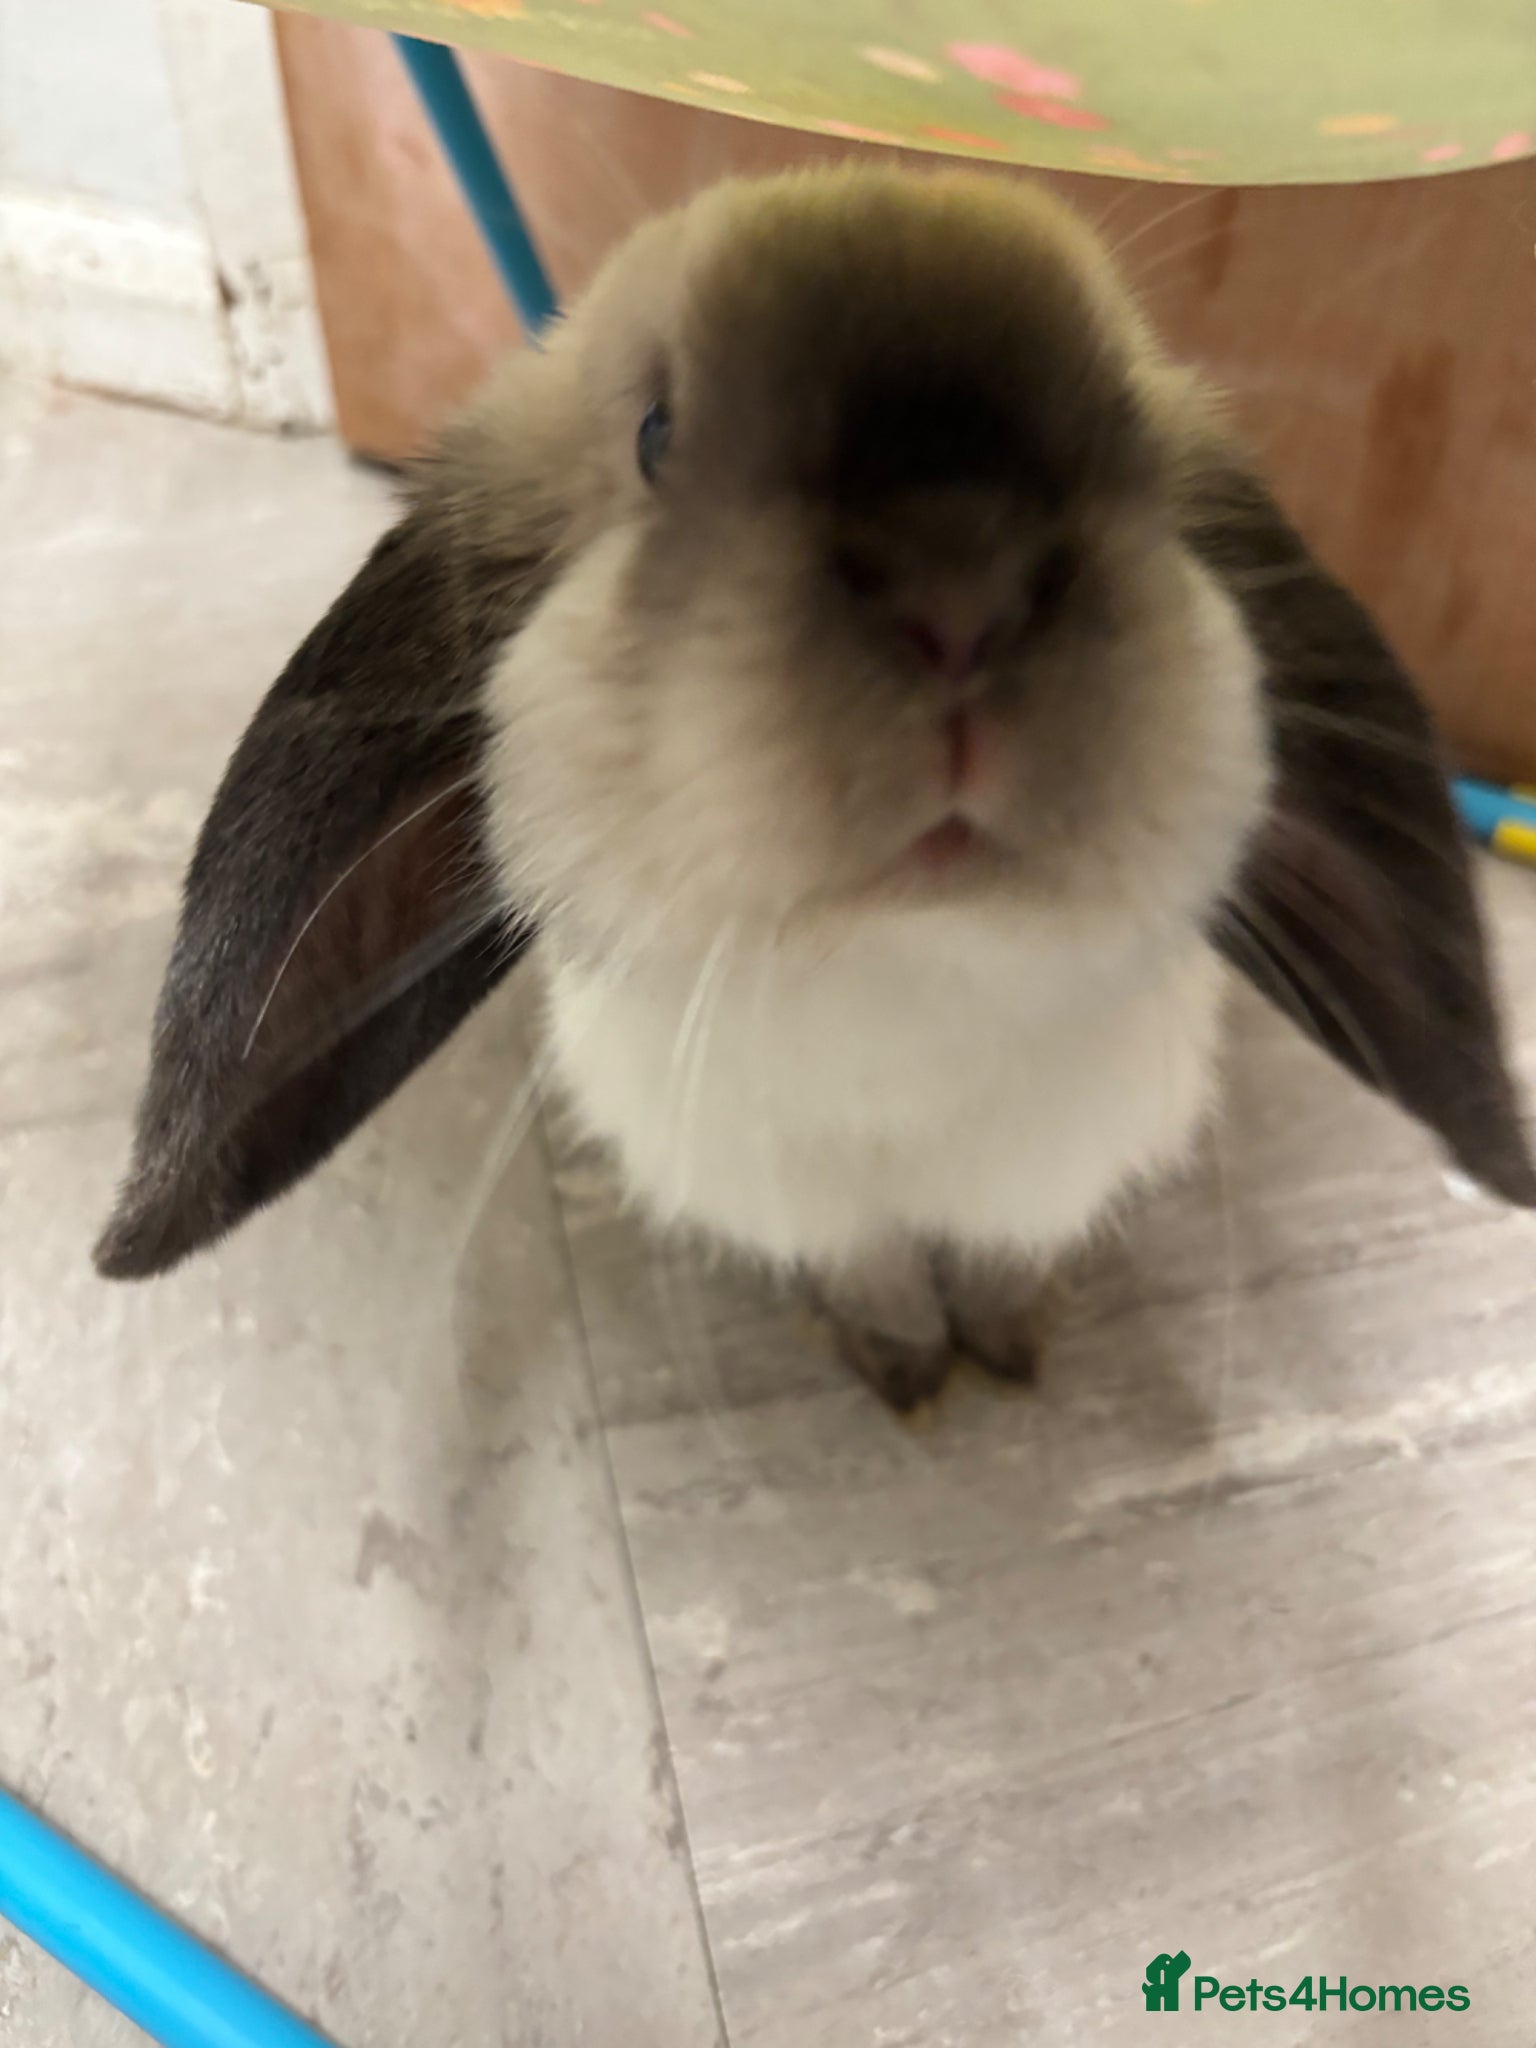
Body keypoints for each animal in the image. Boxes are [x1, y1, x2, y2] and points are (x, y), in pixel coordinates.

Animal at [94, 166, 1536, 1411]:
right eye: (658, 437)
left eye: (1127, 431)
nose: (962, 581)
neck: (905, 982)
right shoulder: (790, 1194)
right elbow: (873, 1268)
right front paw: (903, 1367)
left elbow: (1004, 1259)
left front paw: (1012, 1347)